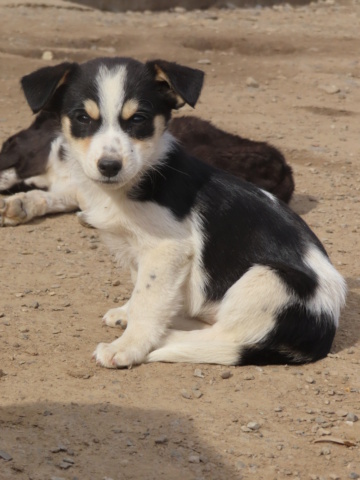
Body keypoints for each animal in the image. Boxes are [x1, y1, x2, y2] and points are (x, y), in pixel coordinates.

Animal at [19, 58, 346, 370]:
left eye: (138, 119)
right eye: (82, 118)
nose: (109, 166)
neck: (143, 178)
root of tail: (326, 330)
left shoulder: (167, 249)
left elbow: (148, 301)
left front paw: (128, 346)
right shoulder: (140, 251)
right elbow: (142, 289)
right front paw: (128, 313)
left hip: (270, 279)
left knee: (225, 337)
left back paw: (166, 337)